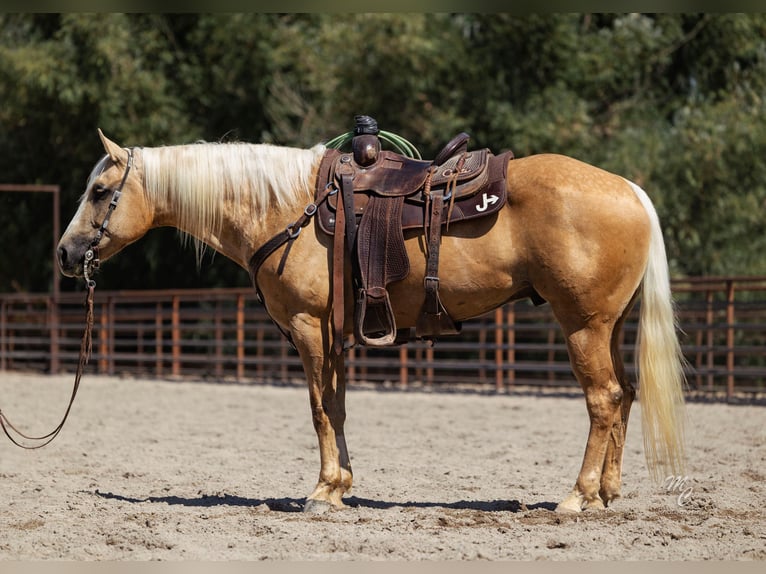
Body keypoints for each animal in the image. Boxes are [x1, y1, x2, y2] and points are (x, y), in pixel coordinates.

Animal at [56, 129, 686, 514]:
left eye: (100, 190)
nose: (65, 254)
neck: (285, 209)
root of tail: (630, 190)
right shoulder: (332, 336)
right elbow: (336, 407)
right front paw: (340, 488)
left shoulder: (308, 328)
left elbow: (316, 410)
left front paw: (319, 493)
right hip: (609, 326)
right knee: (625, 394)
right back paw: (606, 494)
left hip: (582, 324)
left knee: (604, 399)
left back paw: (576, 497)